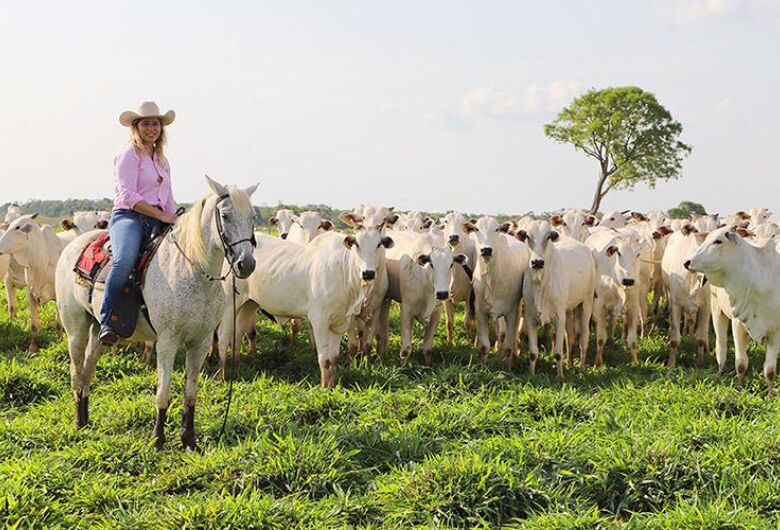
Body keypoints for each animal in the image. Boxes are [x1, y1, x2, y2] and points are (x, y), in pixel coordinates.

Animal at [0, 212, 76, 348]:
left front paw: (59, 342)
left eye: (17, 227)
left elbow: (58, 324)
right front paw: (32, 347)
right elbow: (34, 325)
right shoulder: (31, 293)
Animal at [55, 175, 256, 448]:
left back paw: (86, 419)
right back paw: (78, 422)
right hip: (75, 328)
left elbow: (191, 393)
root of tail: (72, 246)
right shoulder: (167, 342)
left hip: (98, 329)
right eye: (225, 215)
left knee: (88, 370)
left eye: (252, 216)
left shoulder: (201, 343)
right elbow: (163, 393)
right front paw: (157, 439)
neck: (193, 271)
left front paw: (189, 440)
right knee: (76, 372)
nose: (246, 264)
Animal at [516, 221, 596, 378]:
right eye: (527, 236)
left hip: (587, 302)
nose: (537, 262)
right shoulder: (530, 317)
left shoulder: (559, 317)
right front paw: (531, 374)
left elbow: (558, 352)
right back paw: (570, 364)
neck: (541, 285)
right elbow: (533, 352)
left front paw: (560, 377)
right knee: (570, 336)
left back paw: (582, 368)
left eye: (548, 237)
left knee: (584, 337)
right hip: (569, 310)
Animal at [660, 224, 708, 368]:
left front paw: (700, 364)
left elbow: (701, 338)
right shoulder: (675, 304)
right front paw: (671, 363)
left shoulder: (706, 307)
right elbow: (675, 338)